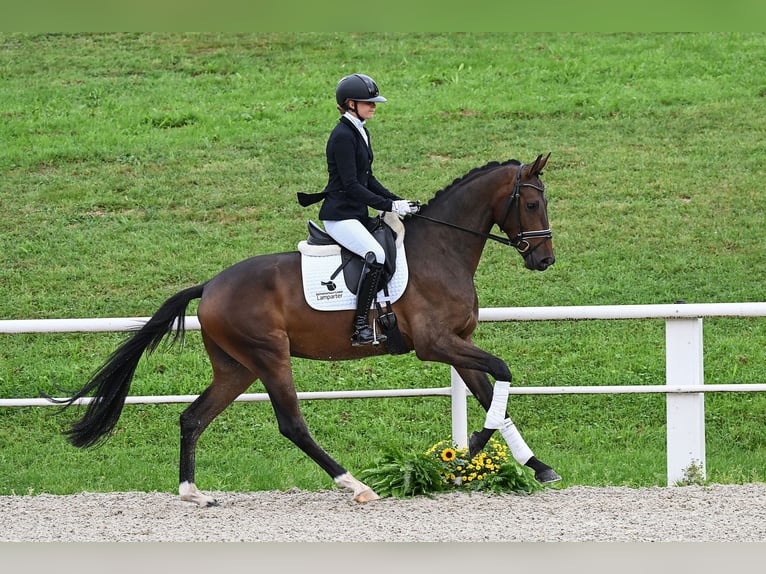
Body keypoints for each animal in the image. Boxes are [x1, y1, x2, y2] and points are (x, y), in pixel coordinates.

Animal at [54, 153, 560, 508]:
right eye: (532, 203)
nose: (545, 260)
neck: (440, 249)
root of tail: (210, 286)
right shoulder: (436, 345)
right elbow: (503, 372)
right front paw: (471, 448)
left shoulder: (460, 343)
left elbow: (493, 394)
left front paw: (535, 465)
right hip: (269, 357)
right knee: (292, 424)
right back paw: (354, 485)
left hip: (237, 367)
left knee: (193, 418)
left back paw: (193, 493)